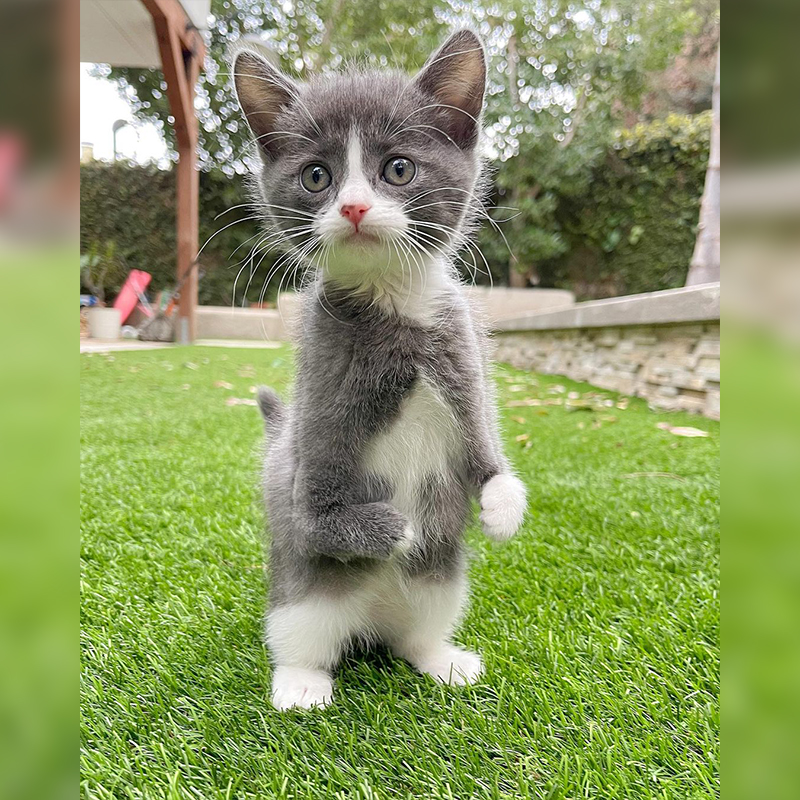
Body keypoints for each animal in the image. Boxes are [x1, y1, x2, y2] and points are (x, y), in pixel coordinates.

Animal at [234, 28, 528, 708]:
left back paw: (439, 657)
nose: (354, 208)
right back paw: (301, 683)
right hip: (302, 601)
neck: (396, 310)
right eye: (317, 176)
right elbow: (313, 516)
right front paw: (392, 529)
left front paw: (501, 509)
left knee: (417, 628)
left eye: (398, 168)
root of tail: (369, 624)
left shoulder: (461, 356)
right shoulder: (320, 385)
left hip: (439, 588)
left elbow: (487, 457)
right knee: (301, 633)